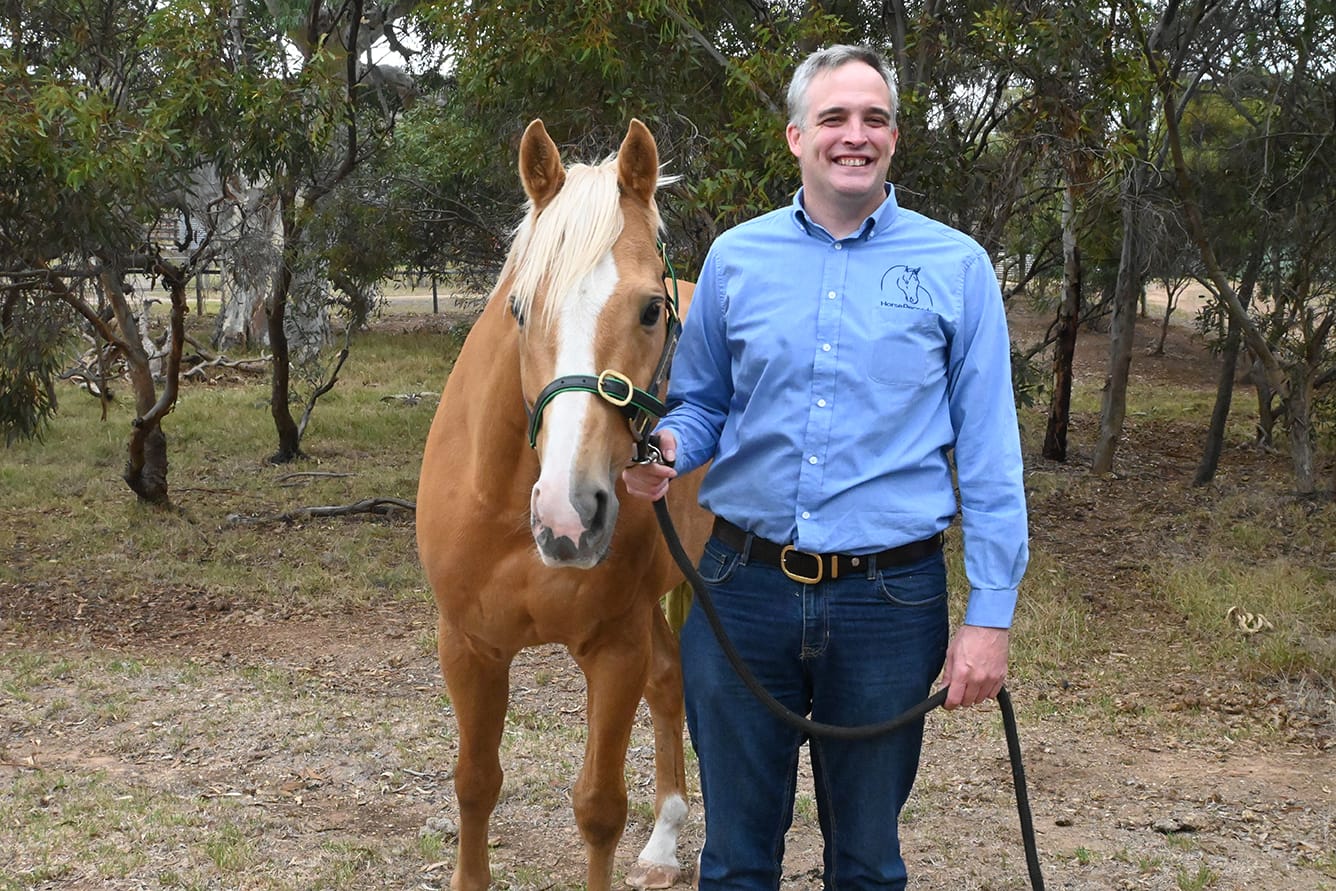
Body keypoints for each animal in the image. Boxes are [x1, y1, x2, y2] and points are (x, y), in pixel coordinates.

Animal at [416, 118, 712, 891]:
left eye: (650, 309)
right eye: (520, 308)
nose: (567, 515)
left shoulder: (612, 647)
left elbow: (600, 807)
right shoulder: (470, 645)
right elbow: (475, 783)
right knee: (670, 679)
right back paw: (664, 842)